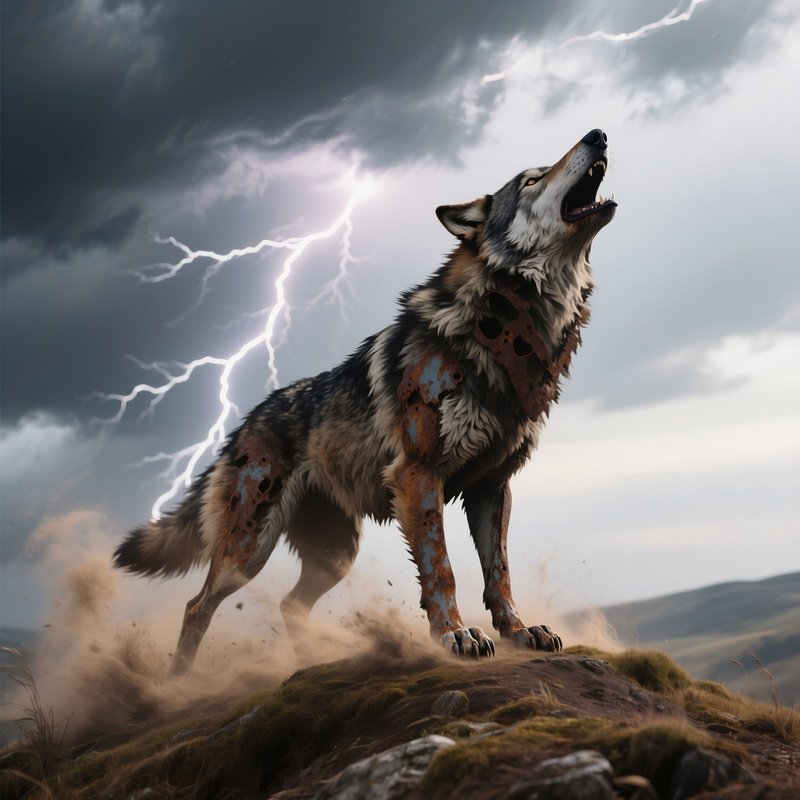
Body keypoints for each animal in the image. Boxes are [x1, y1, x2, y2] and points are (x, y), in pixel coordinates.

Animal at [114, 129, 617, 674]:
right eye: (531, 179)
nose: (598, 135)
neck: (508, 328)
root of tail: (239, 428)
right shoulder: (419, 475)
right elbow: (441, 568)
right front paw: (455, 635)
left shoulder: (492, 486)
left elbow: (499, 573)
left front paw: (520, 633)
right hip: (249, 551)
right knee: (196, 605)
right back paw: (178, 681)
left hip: (336, 555)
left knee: (288, 604)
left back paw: (309, 661)